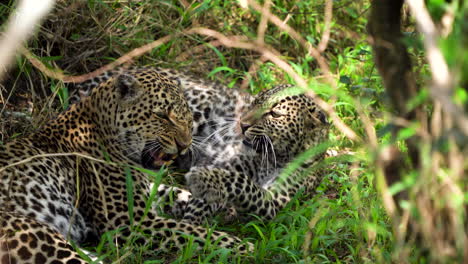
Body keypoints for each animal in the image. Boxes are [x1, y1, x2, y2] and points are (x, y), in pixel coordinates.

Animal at [0, 67, 252, 262]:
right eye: (162, 115)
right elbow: (196, 233)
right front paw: (246, 247)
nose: (184, 145)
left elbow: (181, 194)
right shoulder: (132, 222)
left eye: (187, 116)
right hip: (40, 237)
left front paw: (224, 203)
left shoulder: (151, 192)